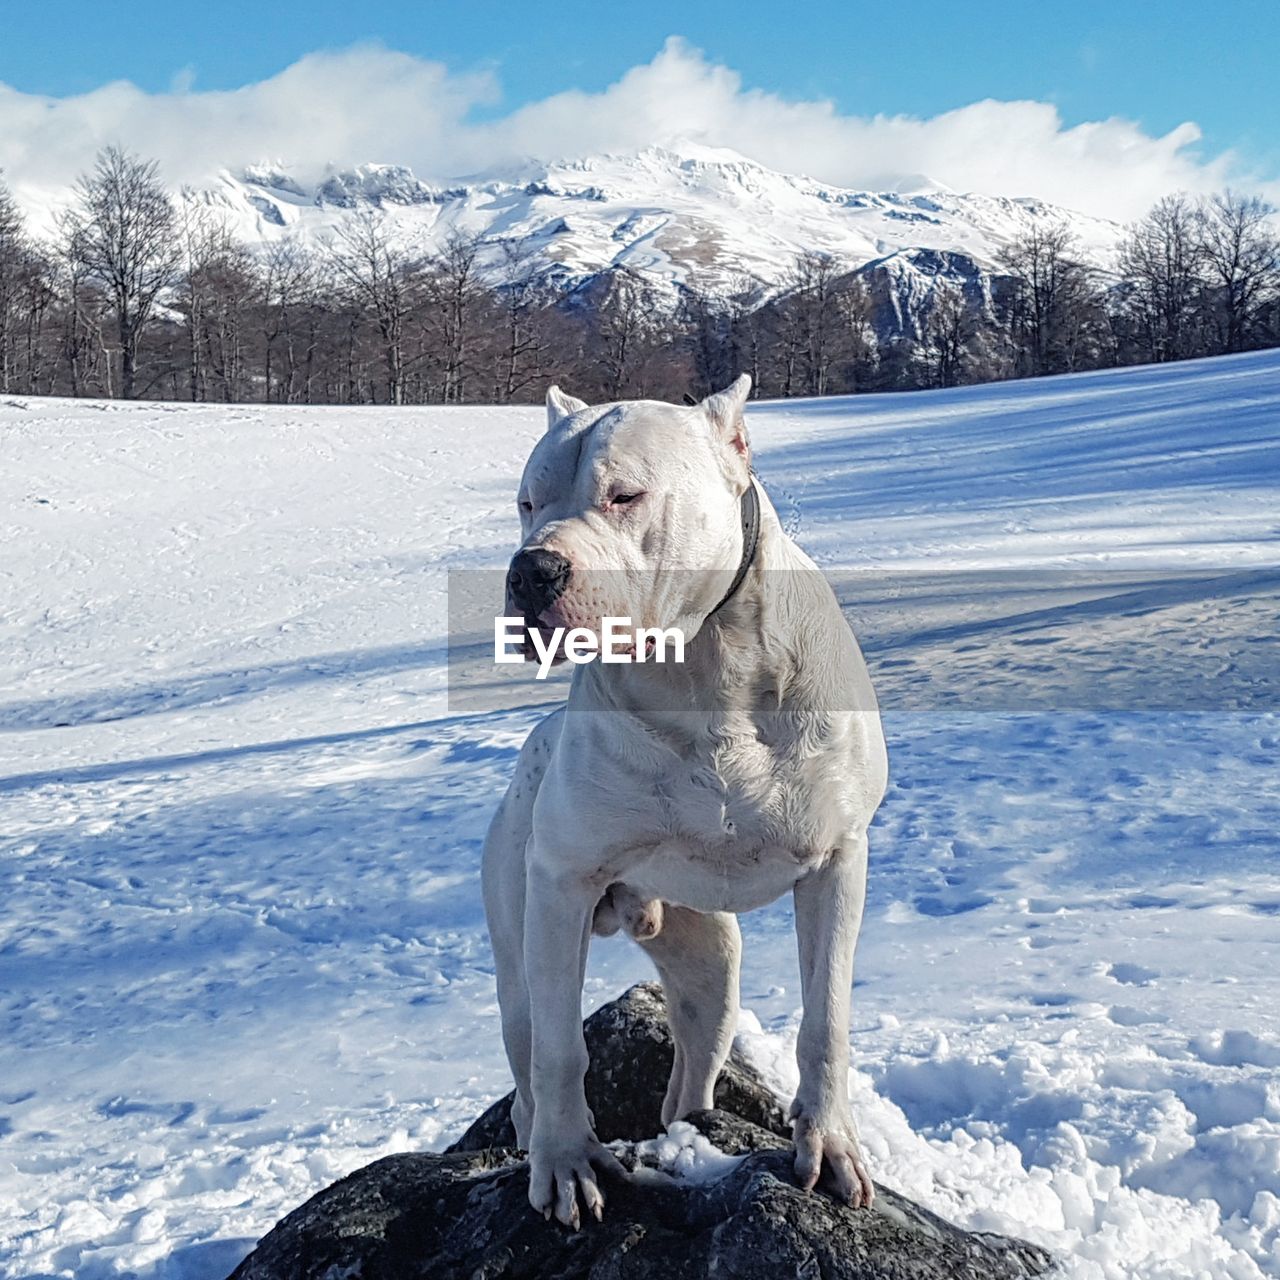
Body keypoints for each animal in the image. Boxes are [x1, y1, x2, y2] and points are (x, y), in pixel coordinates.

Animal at [481, 376, 890, 1228]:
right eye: (527, 501)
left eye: (625, 494)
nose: (531, 570)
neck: (704, 667)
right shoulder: (562, 884)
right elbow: (564, 1049)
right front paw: (568, 1164)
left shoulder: (838, 862)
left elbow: (826, 1020)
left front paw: (830, 1147)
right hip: (521, 941)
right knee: (531, 1053)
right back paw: (538, 1142)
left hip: (711, 964)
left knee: (694, 1060)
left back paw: (689, 1129)